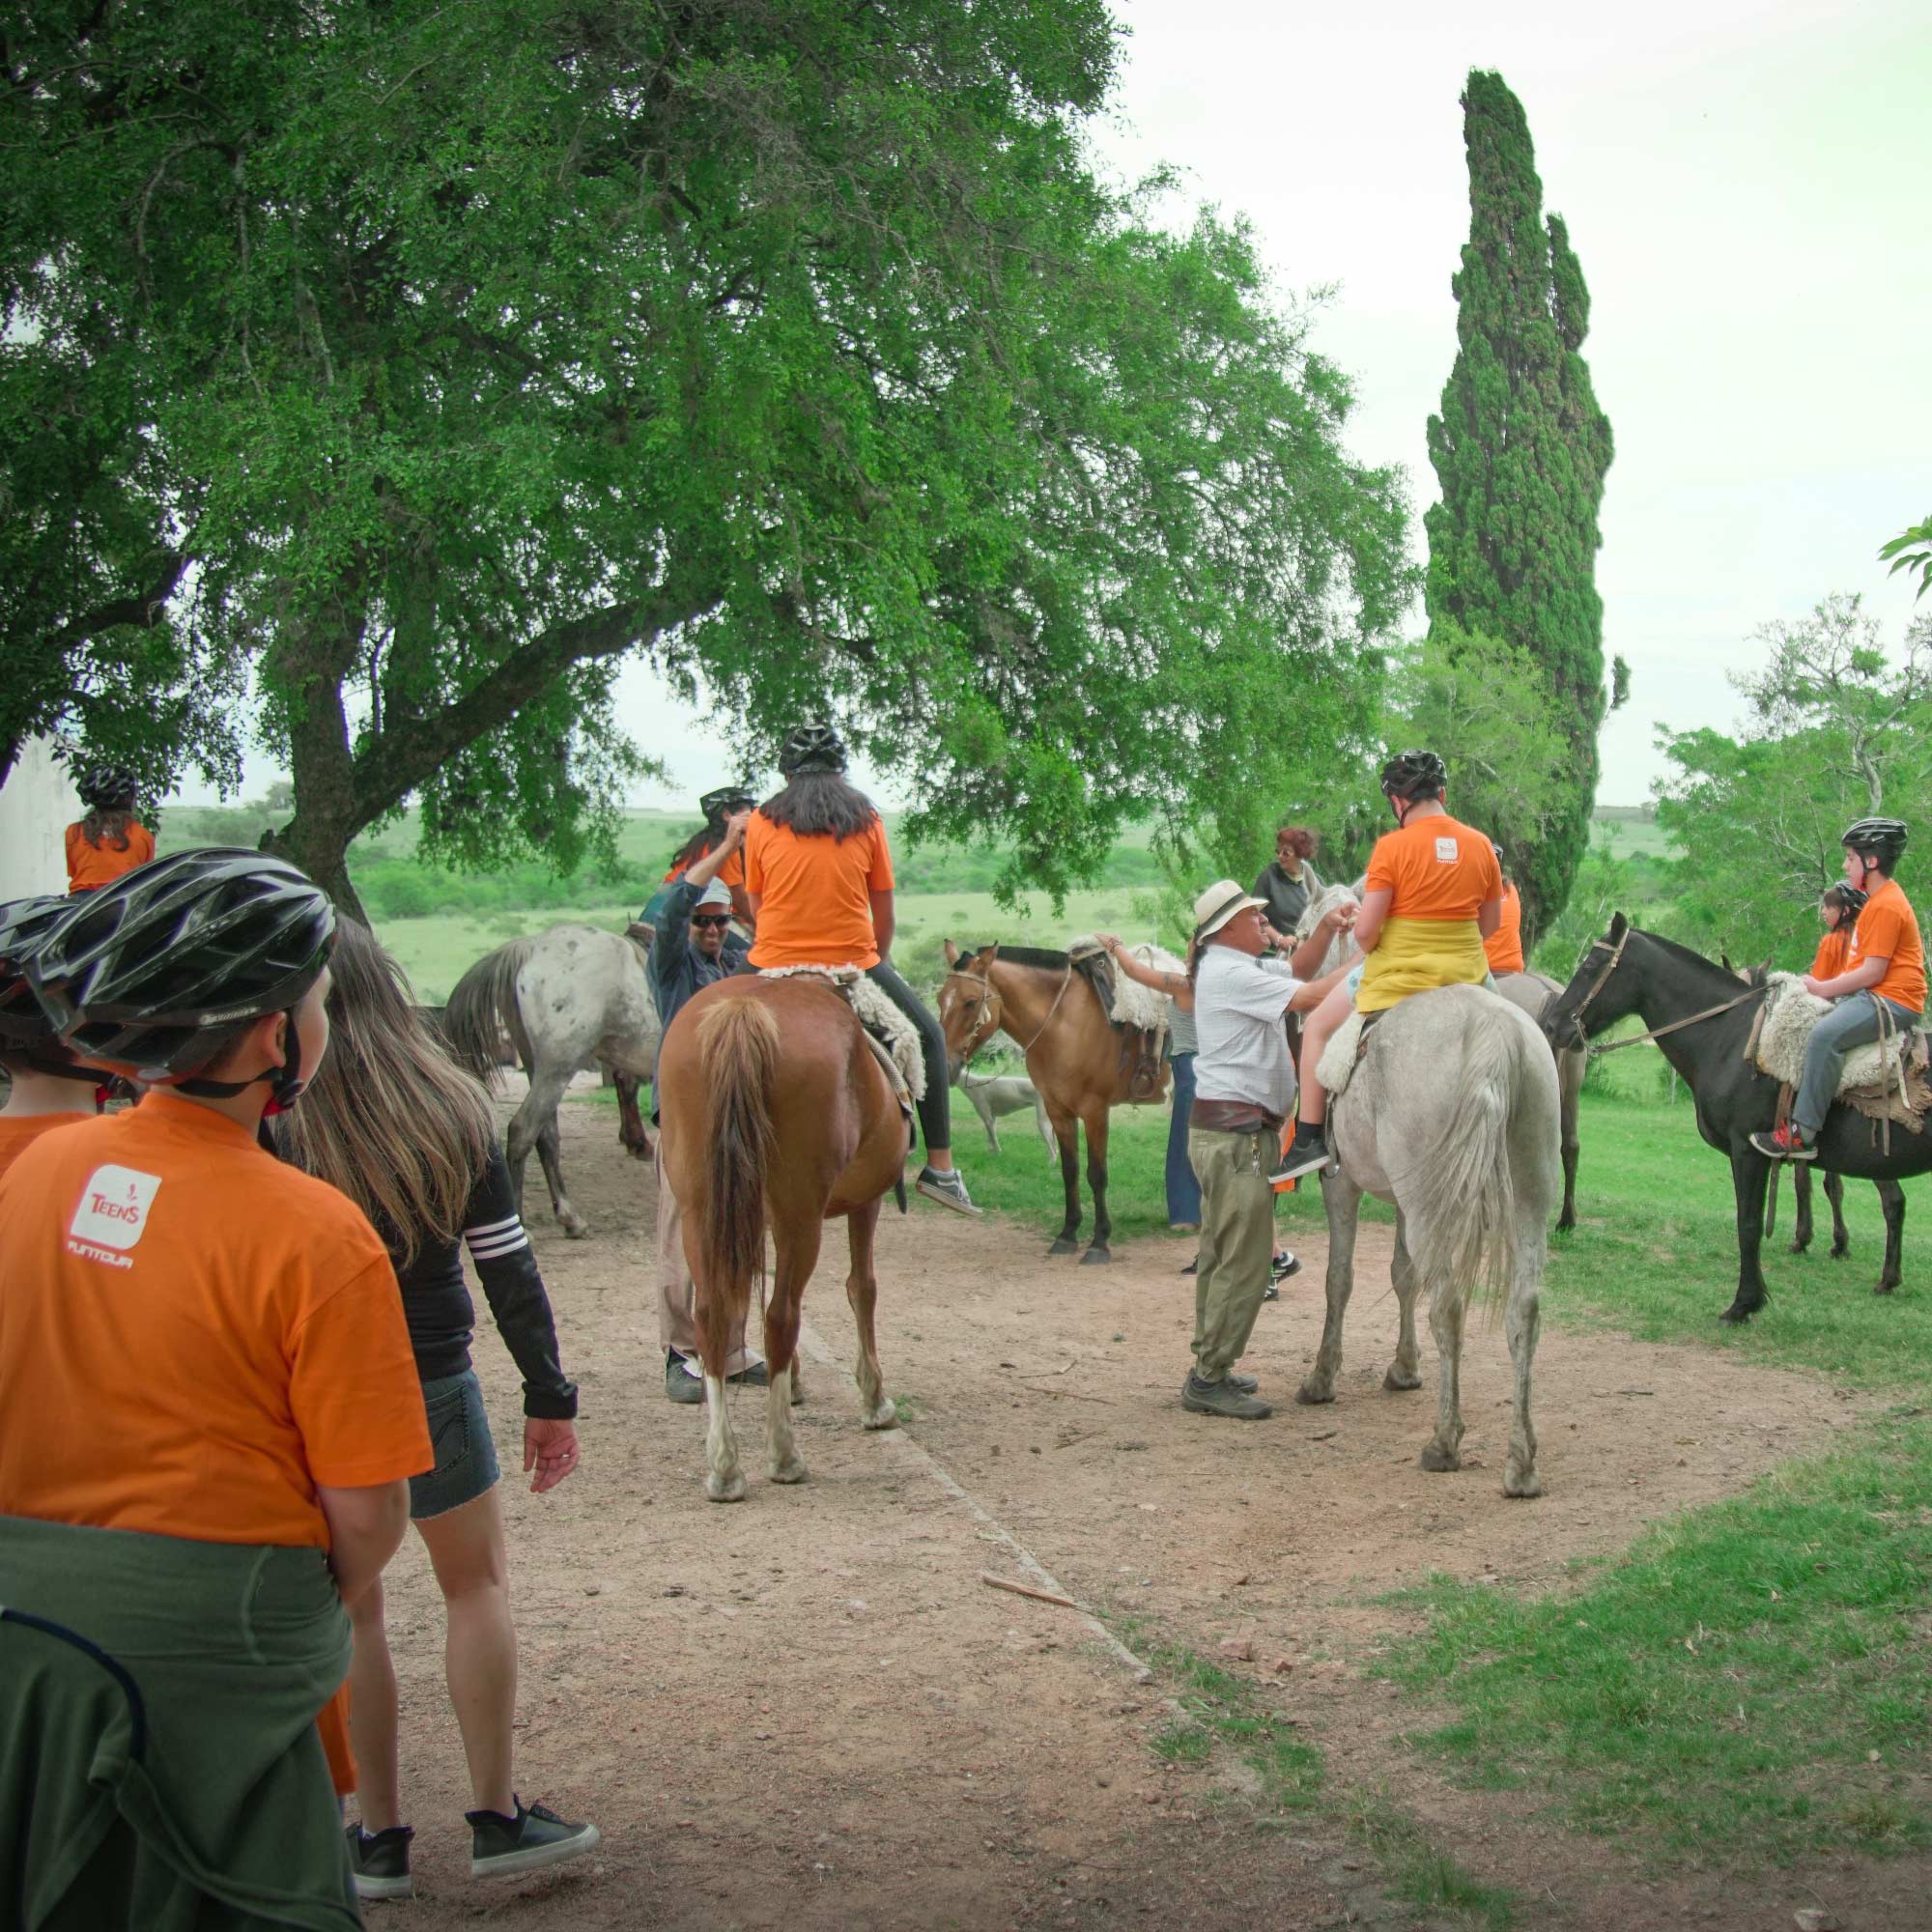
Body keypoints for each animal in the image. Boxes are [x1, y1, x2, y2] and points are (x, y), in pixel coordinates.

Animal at [653, 974, 908, 1499]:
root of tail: (743, 1009)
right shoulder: (866, 1202)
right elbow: (862, 1288)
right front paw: (874, 1400)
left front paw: (792, 1381)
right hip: (799, 1215)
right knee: (782, 1316)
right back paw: (784, 1455)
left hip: (702, 1211)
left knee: (713, 1314)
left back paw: (724, 1466)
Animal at [931, 939, 1159, 1267]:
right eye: (940, 999)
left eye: (971, 1002)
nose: (946, 1065)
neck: (1066, 1022)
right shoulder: (1058, 1111)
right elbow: (1069, 1170)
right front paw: (1067, 1234)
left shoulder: (1095, 1111)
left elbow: (1097, 1175)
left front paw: (1099, 1242)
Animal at [1298, 989, 1553, 1499]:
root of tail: (1491, 1026)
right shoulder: (1404, 1202)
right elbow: (1403, 1276)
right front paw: (1404, 1367)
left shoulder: (1341, 1184)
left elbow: (1339, 1279)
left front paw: (1323, 1375)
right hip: (1527, 1197)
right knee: (1524, 1312)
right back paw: (1521, 1462)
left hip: (1428, 1206)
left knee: (1448, 1310)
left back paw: (1444, 1441)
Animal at [1538, 912, 1932, 1321]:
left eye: (1591, 965)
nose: (1552, 1025)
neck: (1731, 1039)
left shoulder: (1748, 1150)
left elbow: (1749, 1224)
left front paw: (1744, 1303)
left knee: (1891, 1202)